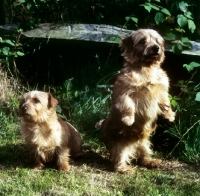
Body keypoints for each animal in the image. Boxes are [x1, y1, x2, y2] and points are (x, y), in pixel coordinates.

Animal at [95, 28, 175, 173]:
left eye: (157, 41)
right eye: (142, 41)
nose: (156, 47)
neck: (146, 68)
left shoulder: (162, 91)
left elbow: (165, 103)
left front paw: (169, 116)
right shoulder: (125, 94)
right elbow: (128, 106)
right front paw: (128, 119)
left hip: (145, 143)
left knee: (143, 155)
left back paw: (151, 161)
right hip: (120, 146)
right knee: (118, 160)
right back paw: (124, 168)